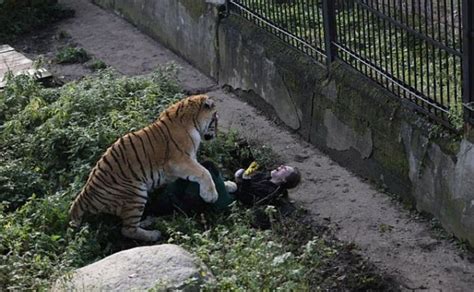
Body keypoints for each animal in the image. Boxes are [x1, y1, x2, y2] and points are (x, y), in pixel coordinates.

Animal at [68, 94, 218, 241]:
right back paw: (154, 235)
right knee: (127, 230)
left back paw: (148, 221)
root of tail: (84, 195)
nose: (216, 134)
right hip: (136, 193)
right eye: (215, 119)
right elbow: (204, 172)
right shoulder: (178, 161)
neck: (192, 120)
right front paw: (211, 196)